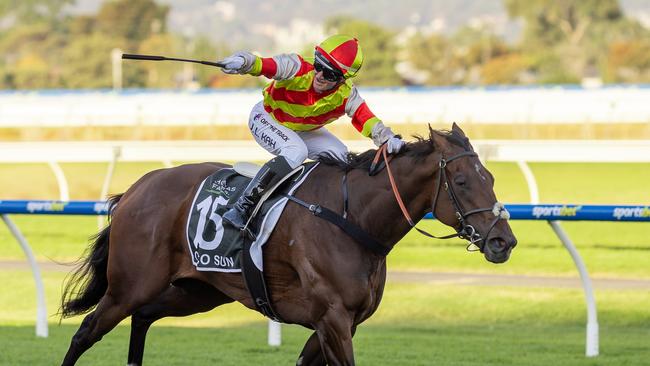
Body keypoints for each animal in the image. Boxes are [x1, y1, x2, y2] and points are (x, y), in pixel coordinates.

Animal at [60, 123, 516, 366]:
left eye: (492, 177)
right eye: (462, 182)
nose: (504, 240)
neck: (352, 217)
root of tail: (135, 189)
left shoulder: (341, 321)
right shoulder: (333, 318)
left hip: (199, 291)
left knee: (143, 317)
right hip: (130, 285)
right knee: (86, 332)